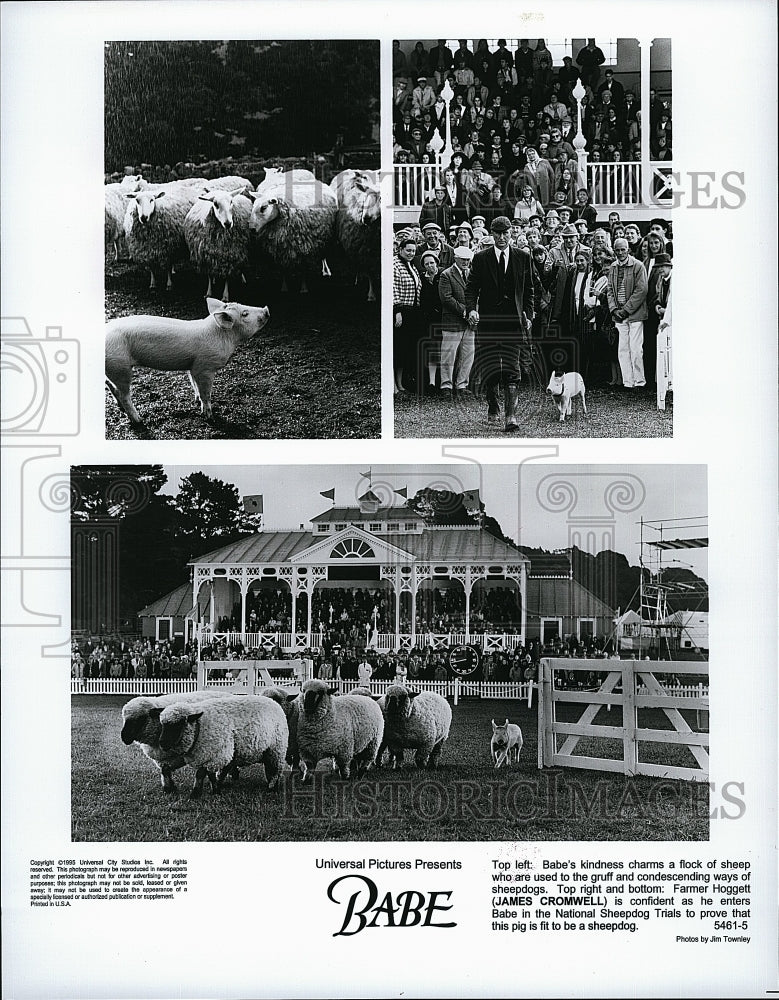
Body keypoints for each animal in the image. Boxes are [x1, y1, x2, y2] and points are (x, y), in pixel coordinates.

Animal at [158, 696, 290, 796]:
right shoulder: (205, 755)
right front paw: (210, 790)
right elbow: (207, 774)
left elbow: (201, 773)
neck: (200, 726)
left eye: (178, 725)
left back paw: (272, 788)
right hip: (263, 752)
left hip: (276, 750)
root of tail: (274, 703)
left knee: (275, 770)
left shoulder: (215, 754)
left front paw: (197, 793)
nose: (161, 743)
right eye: (163, 725)